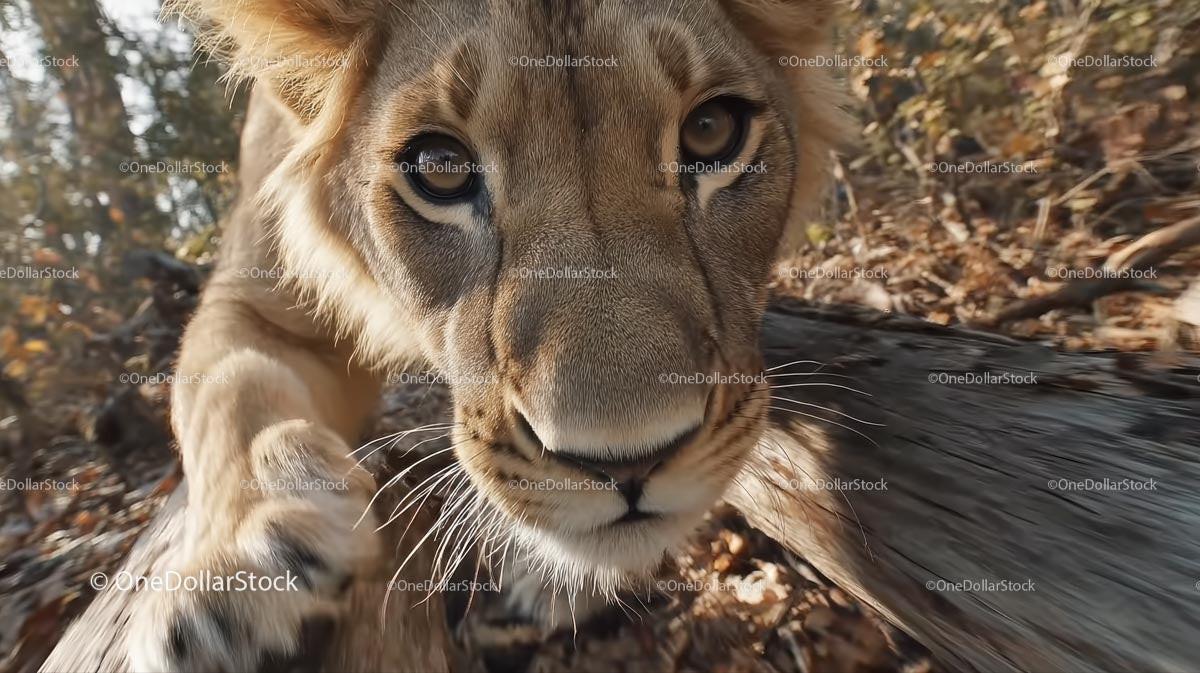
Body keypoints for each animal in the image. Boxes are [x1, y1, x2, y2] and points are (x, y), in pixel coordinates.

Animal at [126, 0, 850, 670]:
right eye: (440, 166)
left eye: (710, 131)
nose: (628, 464)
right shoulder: (249, 295)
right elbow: (227, 388)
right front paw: (237, 575)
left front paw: (559, 581)